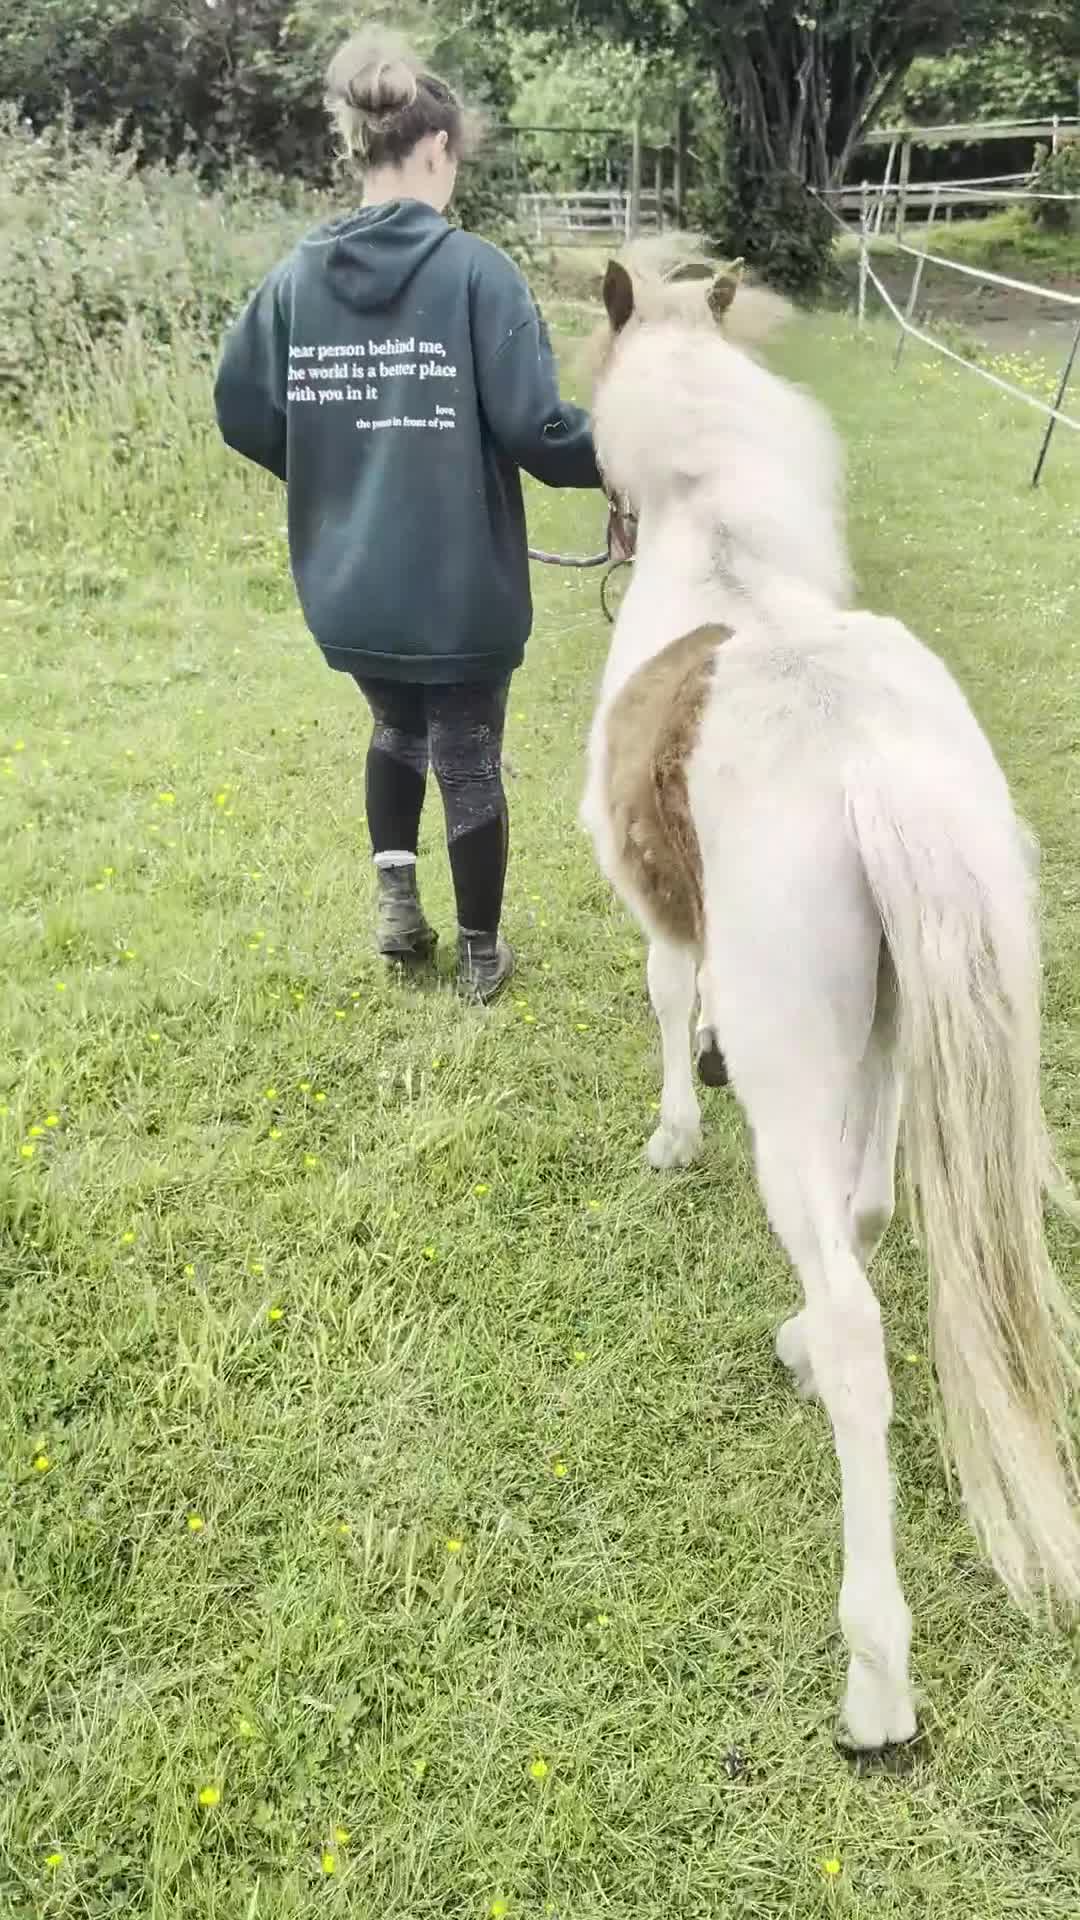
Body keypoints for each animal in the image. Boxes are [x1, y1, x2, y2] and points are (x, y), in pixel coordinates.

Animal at [580, 241, 1080, 1751]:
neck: (720, 558)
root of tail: (874, 758)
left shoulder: (673, 931)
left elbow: (666, 998)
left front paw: (672, 1133)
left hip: (793, 1079)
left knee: (861, 1329)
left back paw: (877, 1684)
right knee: (856, 1214)